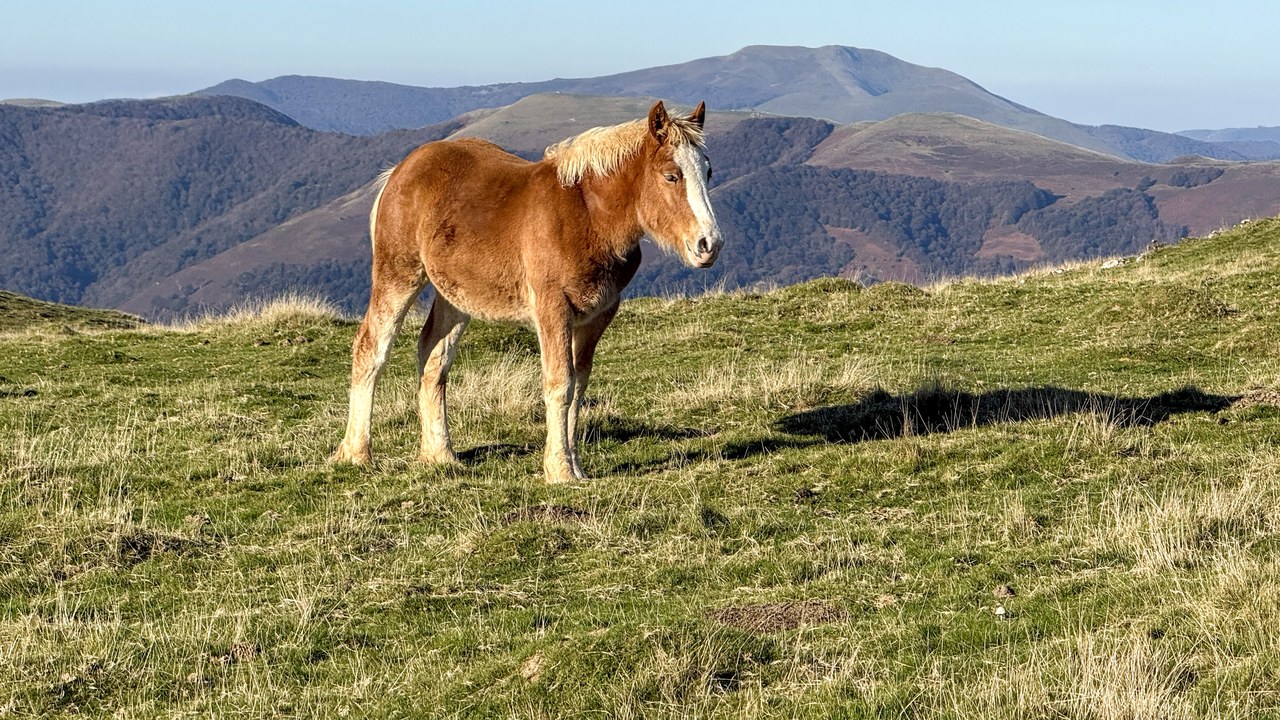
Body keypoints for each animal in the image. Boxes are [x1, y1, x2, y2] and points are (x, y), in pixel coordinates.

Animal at [332, 100, 723, 483]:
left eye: (707, 172)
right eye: (671, 175)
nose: (710, 244)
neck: (589, 216)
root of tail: (399, 171)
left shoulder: (598, 314)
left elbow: (579, 385)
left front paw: (576, 467)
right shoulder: (553, 308)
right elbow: (560, 382)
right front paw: (559, 471)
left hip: (455, 295)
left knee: (433, 356)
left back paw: (440, 456)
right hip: (399, 275)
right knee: (371, 347)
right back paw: (356, 454)